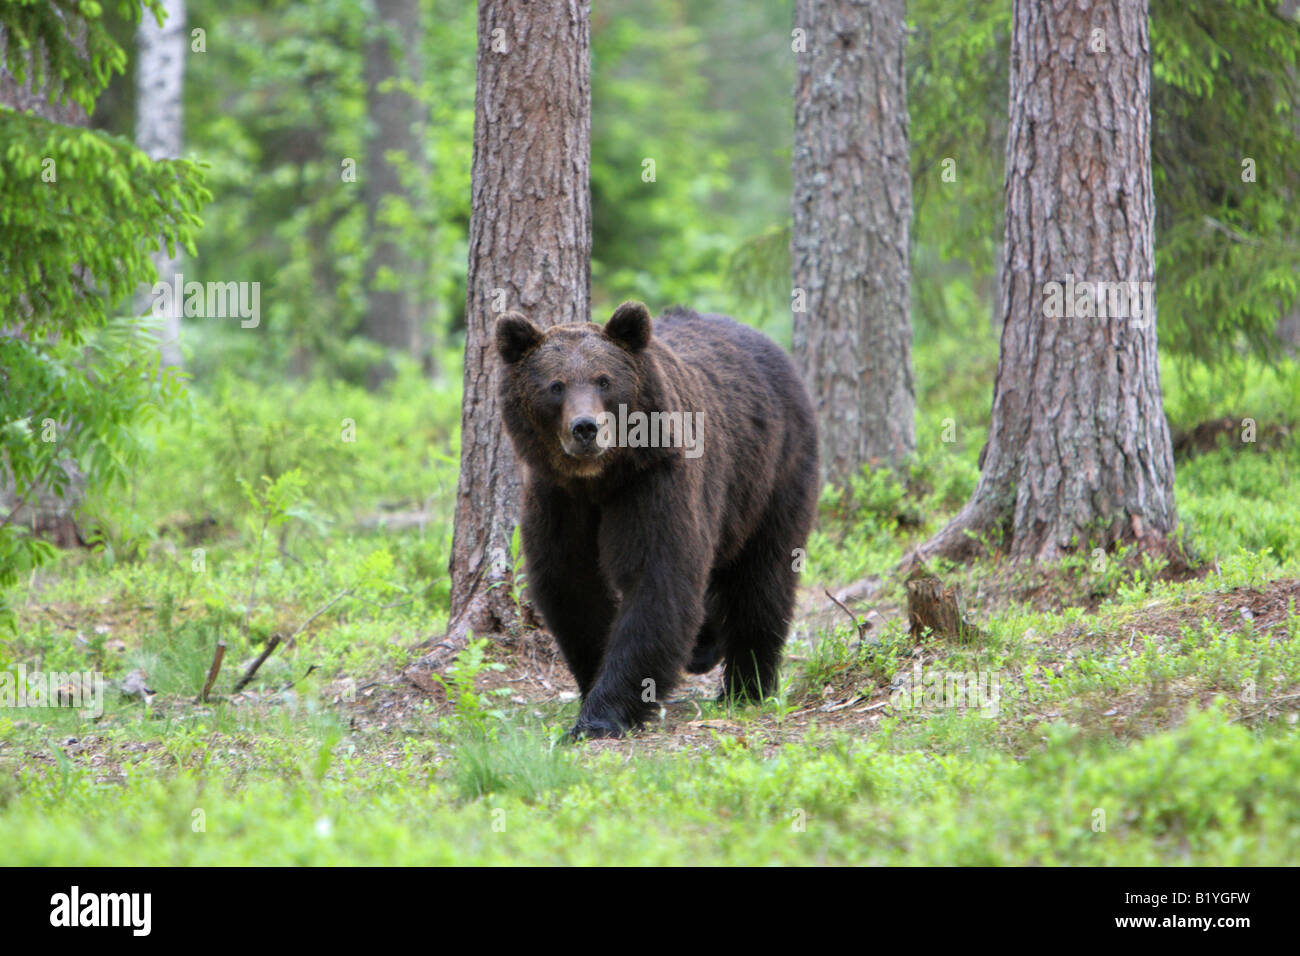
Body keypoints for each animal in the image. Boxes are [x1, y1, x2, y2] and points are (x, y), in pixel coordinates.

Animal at [491, 303, 816, 738]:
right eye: (555, 385)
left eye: (604, 380)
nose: (585, 428)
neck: (599, 480)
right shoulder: (557, 498)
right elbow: (571, 583)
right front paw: (594, 684)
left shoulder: (654, 481)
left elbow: (657, 579)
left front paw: (601, 714)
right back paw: (706, 647)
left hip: (771, 474)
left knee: (762, 577)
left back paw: (747, 686)